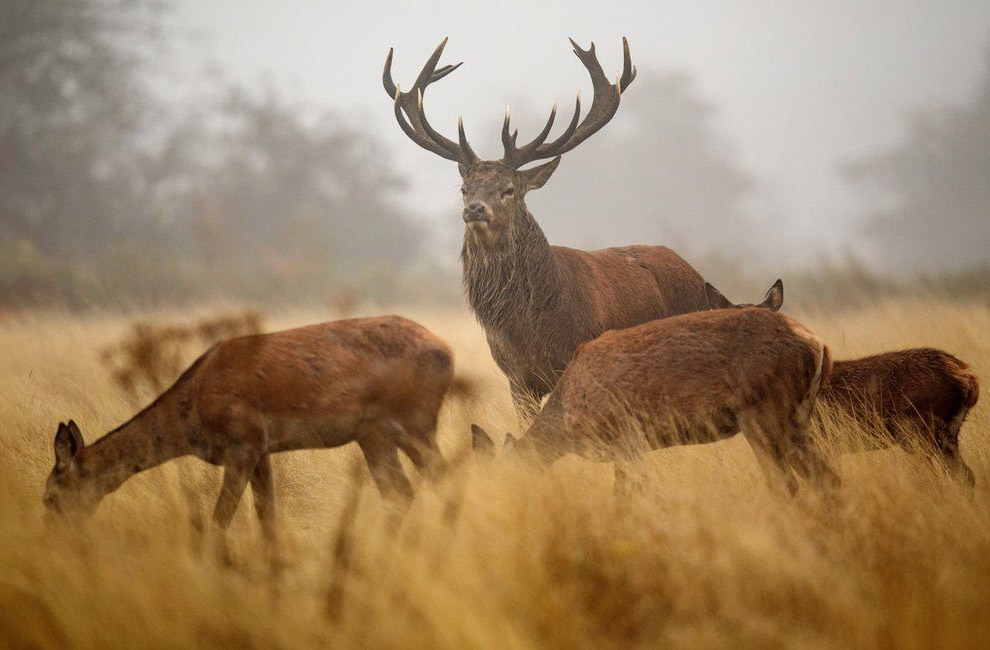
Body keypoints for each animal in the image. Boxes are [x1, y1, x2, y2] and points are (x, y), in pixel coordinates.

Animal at [45, 314, 462, 548]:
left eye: (50, 495)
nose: (53, 535)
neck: (191, 414)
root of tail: (448, 351)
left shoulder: (243, 443)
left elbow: (220, 518)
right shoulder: (262, 449)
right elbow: (267, 517)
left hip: (415, 421)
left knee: (439, 476)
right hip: (373, 435)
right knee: (402, 490)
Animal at [382, 36, 712, 420]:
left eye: (509, 189)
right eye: (465, 188)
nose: (475, 209)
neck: (532, 330)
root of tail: (698, 276)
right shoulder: (517, 379)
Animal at [472, 306, 836, 494]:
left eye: (502, 481)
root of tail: (818, 345)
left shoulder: (627, 437)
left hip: (764, 410)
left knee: (787, 484)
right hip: (797, 418)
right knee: (826, 479)